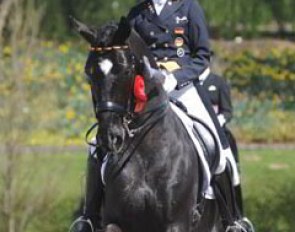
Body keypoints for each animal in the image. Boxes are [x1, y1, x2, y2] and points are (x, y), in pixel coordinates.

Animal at [71, 17, 224, 232]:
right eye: (89, 73)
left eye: (126, 70)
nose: (110, 136)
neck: (146, 152)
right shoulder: (114, 222)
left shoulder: (177, 223)